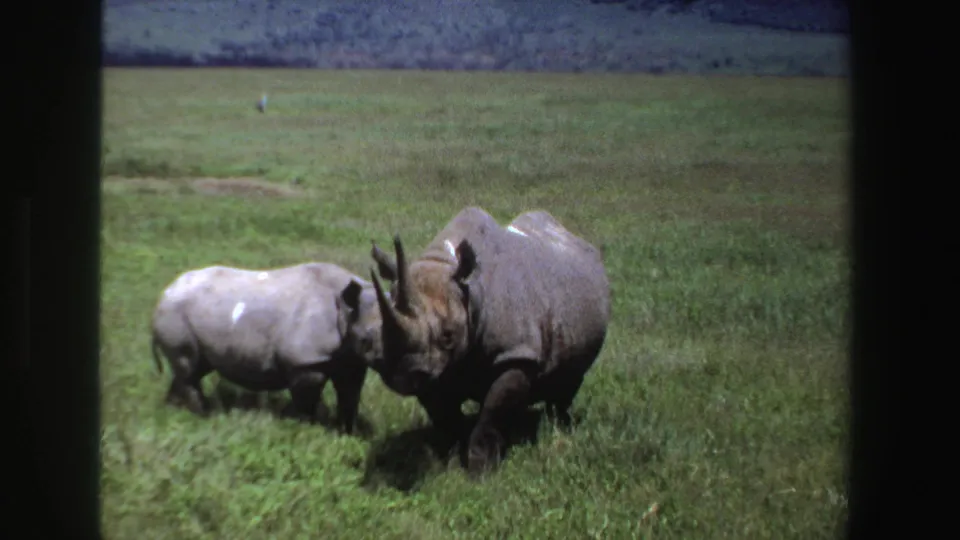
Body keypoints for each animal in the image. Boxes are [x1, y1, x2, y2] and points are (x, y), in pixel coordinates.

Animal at [150, 262, 385, 434]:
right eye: (367, 339)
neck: (346, 310)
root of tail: (164, 293)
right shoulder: (305, 362)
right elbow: (307, 403)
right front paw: (307, 432)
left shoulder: (350, 359)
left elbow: (349, 396)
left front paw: (347, 433)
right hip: (174, 313)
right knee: (189, 369)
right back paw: (203, 416)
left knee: (193, 369)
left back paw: (173, 411)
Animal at [367, 207, 611, 474]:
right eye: (380, 329)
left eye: (448, 335)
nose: (401, 375)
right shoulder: (433, 368)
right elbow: (444, 415)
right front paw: (451, 462)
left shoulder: (515, 353)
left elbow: (493, 412)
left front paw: (480, 471)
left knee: (570, 378)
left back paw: (558, 428)